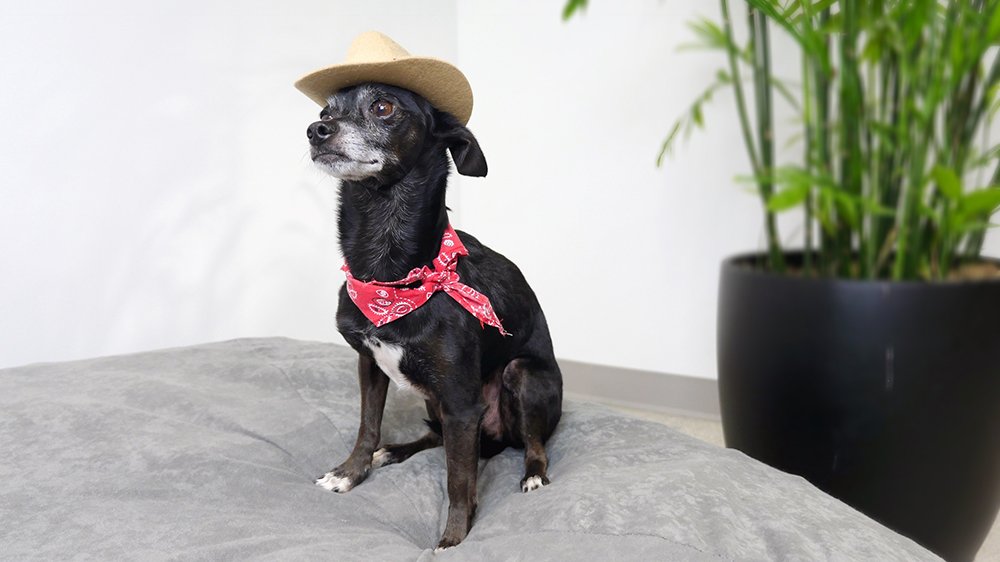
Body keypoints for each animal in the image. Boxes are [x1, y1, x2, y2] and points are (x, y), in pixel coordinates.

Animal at [304, 82, 564, 548]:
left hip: (521, 375)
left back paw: (533, 475)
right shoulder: (369, 364)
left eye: (383, 106)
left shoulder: (461, 404)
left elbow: (458, 480)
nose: (316, 131)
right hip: (433, 397)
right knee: (435, 435)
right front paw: (350, 473)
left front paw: (453, 539)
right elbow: (367, 427)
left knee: (533, 445)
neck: (391, 275)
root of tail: (496, 441)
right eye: (325, 112)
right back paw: (395, 449)